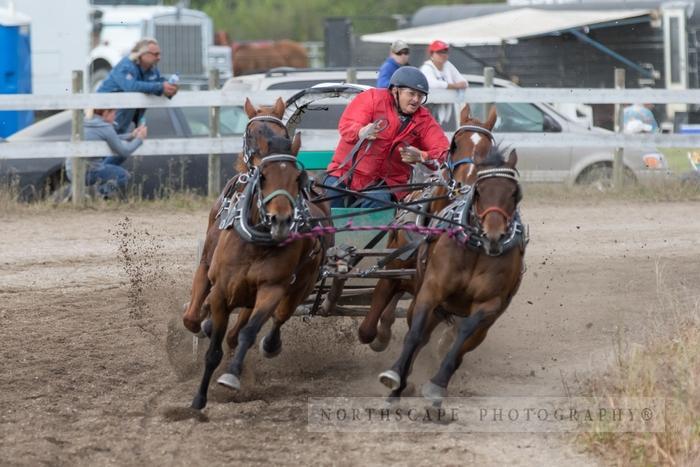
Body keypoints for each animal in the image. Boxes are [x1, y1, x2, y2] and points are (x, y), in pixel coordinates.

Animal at [190, 153, 332, 410]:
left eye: (297, 179)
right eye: (262, 177)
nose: (281, 220)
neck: (256, 243)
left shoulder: (271, 290)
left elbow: (249, 331)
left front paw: (231, 375)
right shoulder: (218, 286)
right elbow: (208, 337)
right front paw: (199, 397)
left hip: (299, 287)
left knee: (276, 319)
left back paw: (269, 345)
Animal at [358, 105, 500, 352]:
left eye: (489, 150)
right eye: (454, 144)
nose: (465, 186)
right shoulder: (391, 273)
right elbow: (368, 329)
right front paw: (380, 337)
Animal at [378, 147, 524, 406]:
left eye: (514, 193)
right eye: (479, 190)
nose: (494, 235)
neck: (476, 249)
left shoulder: (489, 304)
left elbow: (462, 337)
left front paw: (436, 386)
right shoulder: (431, 289)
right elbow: (415, 335)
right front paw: (394, 376)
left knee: (462, 346)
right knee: (421, 334)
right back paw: (399, 387)